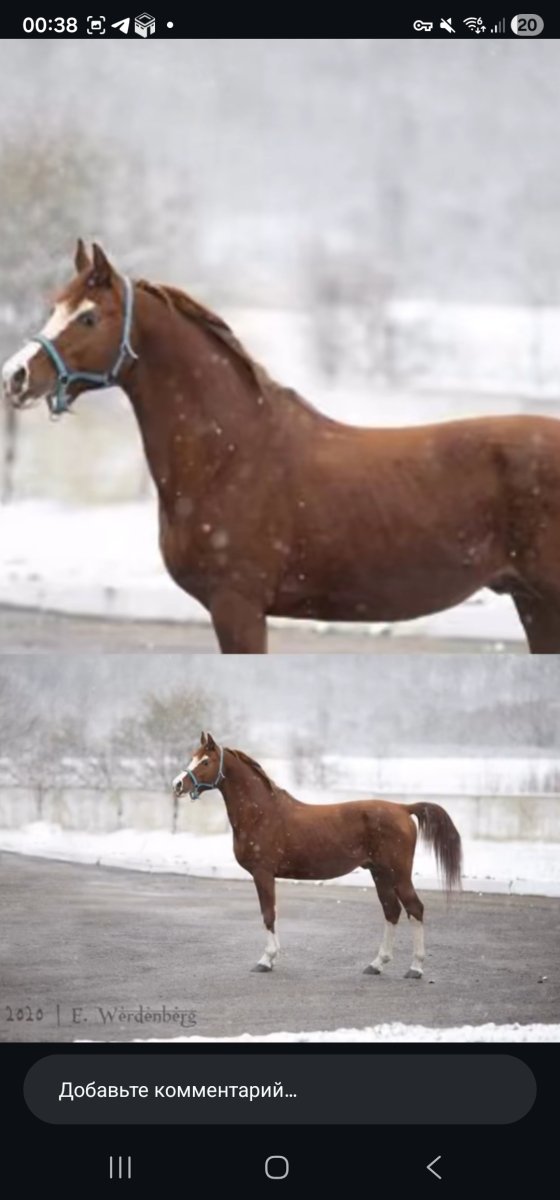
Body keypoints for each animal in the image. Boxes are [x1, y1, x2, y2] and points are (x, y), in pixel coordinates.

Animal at [4, 238, 560, 654]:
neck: (230, 456)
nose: (15, 377)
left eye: (88, 317)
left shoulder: (238, 605)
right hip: (533, 602)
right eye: (54, 307)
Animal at [172, 732, 462, 977]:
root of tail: (403, 808)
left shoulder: (263, 874)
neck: (262, 812)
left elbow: (268, 914)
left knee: (415, 908)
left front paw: (266, 960)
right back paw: (377, 964)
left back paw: (415, 967)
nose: (177, 785)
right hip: (380, 874)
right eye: (193, 757)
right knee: (391, 911)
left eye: (205, 760)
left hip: (398, 874)